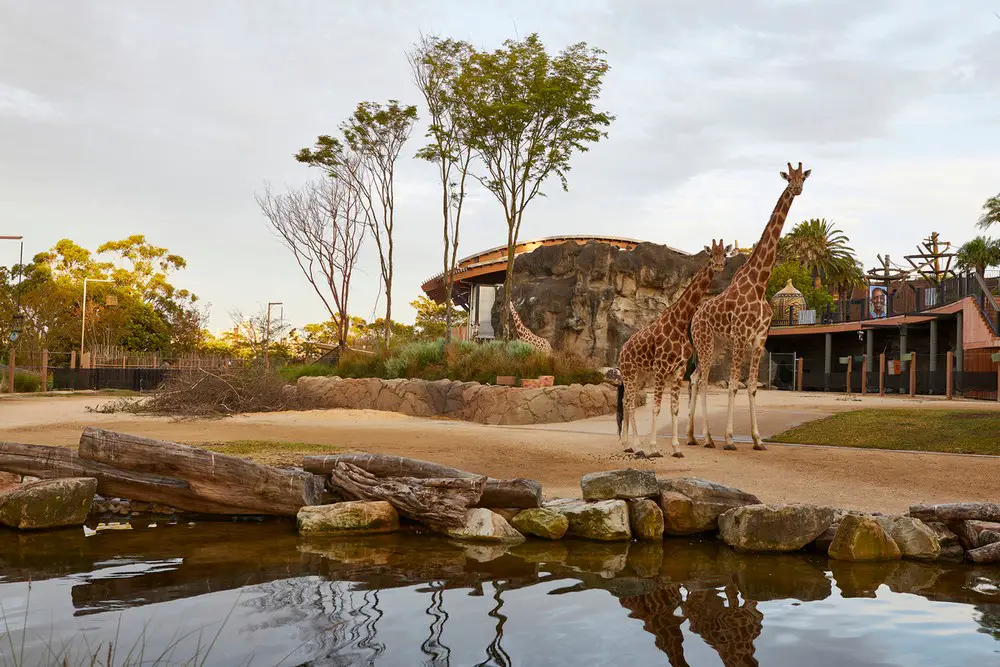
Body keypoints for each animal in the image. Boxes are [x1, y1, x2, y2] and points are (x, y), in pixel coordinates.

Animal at [616, 239, 728, 460]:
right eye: (711, 254)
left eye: (724, 255)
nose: (719, 265)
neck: (680, 322)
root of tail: (622, 350)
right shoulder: (661, 369)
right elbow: (656, 408)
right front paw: (653, 447)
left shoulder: (677, 371)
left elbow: (674, 409)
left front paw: (677, 448)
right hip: (630, 373)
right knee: (630, 403)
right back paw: (637, 446)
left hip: (640, 376)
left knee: (626, 401)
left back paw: (628, 444)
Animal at [688, 162, 812, 452]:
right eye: (789, 178)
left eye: (803, 178)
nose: (797, 188)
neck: (760, 283)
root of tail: (694, 317)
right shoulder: (740, 335)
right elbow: (734, 384)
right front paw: (730, 439)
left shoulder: (759, 338)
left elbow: (752, 386)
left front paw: (757, 440)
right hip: (706, 342)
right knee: (701, 380)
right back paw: (706, 438)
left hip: (716, 344)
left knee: (696, 378)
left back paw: (694, 436)